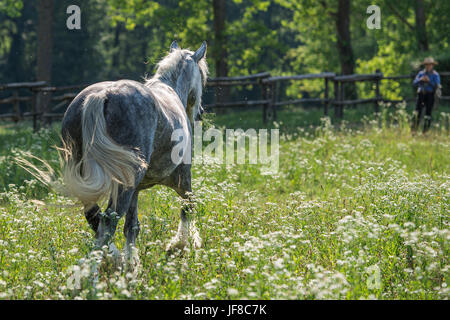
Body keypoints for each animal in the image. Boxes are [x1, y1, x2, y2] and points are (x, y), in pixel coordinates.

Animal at [60, 40, 207, 260]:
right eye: (202, 75)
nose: (199, 113)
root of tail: (101, 96)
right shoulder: (183, 178)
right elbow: (188, 207)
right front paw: (179, 245)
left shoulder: (136, 190)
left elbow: (132, 227)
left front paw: (132, 262)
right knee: (108, 221)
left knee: (94, 217)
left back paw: (114, 259)